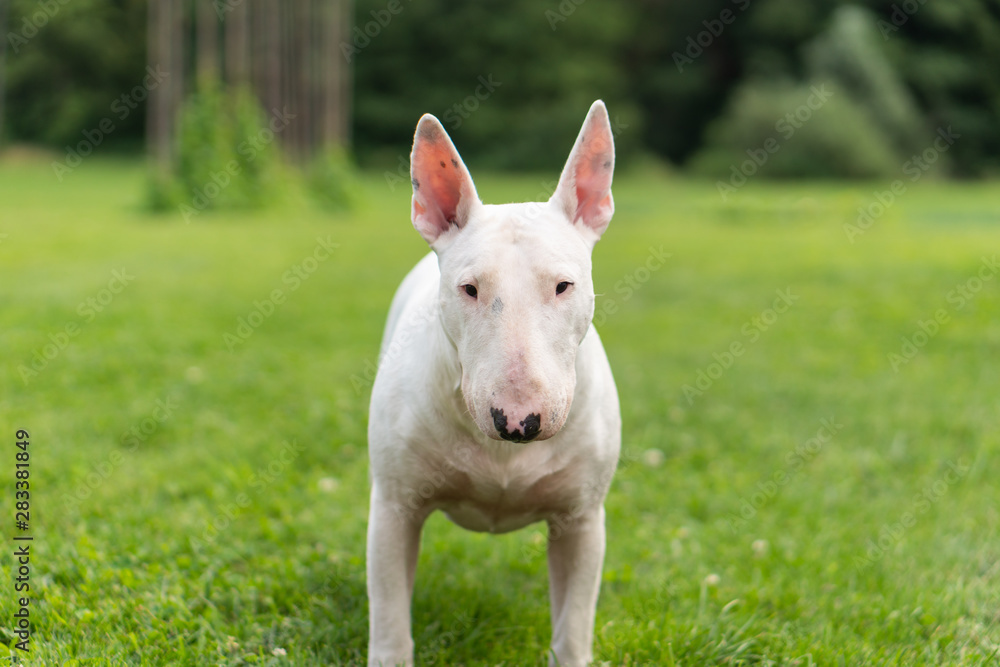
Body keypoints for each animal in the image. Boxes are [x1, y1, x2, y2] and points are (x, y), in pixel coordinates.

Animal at [368, 100, 616, 667]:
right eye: (469, 289)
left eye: (563, 285)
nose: (518, 421)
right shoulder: (393, 508)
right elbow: (391, 622)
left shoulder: (582, 520)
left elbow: (573, 629)